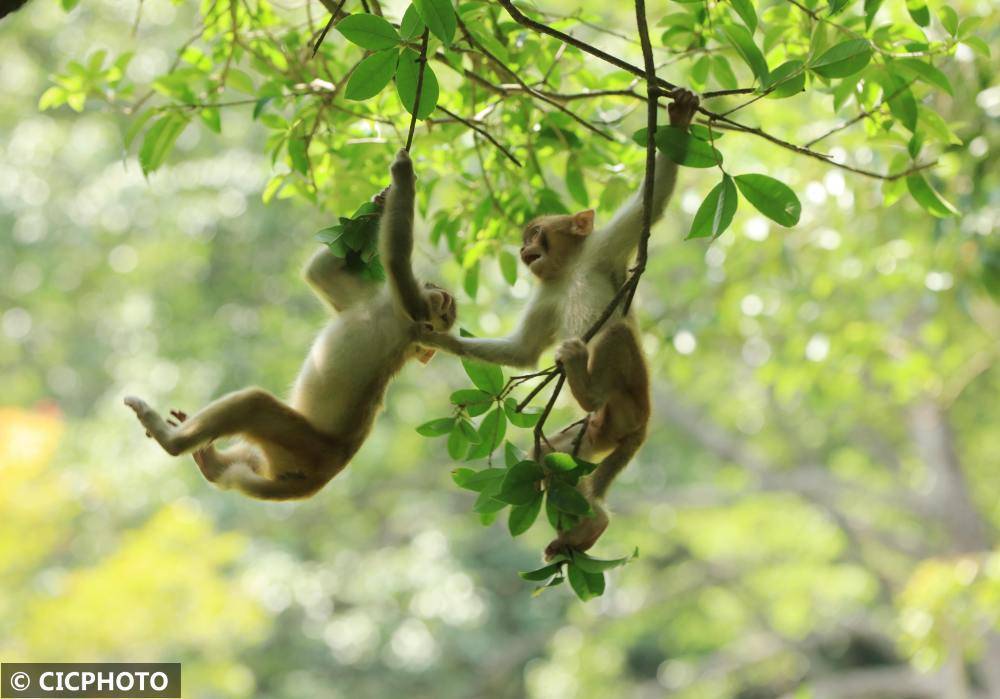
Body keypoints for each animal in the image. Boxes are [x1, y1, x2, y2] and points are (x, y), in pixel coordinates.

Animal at [123, 149, 458, 498]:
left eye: (445, 316)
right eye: (447, 306)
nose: (444, 305)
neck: (388, 310)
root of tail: (322, 477)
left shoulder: (411, 312)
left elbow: (395, 260)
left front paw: (404, 174)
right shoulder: (371, 301)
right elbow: (320, 271)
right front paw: (379, 201)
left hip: (303, 445)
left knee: (254, 405)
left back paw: (173, 441)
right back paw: (213, 464)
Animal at [422, 89, 704, 556]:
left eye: (536, 232)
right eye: (524, 239)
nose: (524, 250)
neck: (568, 270)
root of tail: (641, 424)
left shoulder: (603, 248)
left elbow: (652, 203)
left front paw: (679, 120)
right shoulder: (546, 295)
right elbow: (523, 350)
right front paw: (439, 336)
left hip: (630, 398)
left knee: (614, 333)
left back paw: (585, 388)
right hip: (601, 431)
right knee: (547, 456)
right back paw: (592, 520)